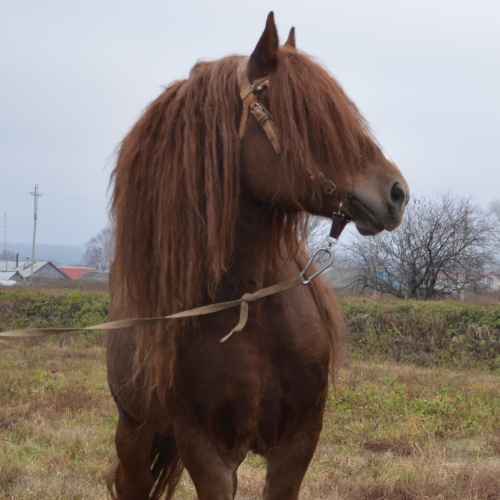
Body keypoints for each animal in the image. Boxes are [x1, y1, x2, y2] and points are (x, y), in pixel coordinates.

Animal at [105, 11, 406, 500]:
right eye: (306, 115)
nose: (397, 193)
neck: (248, 304)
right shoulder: (206, 449)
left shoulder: (298, 442)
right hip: (134, 429)